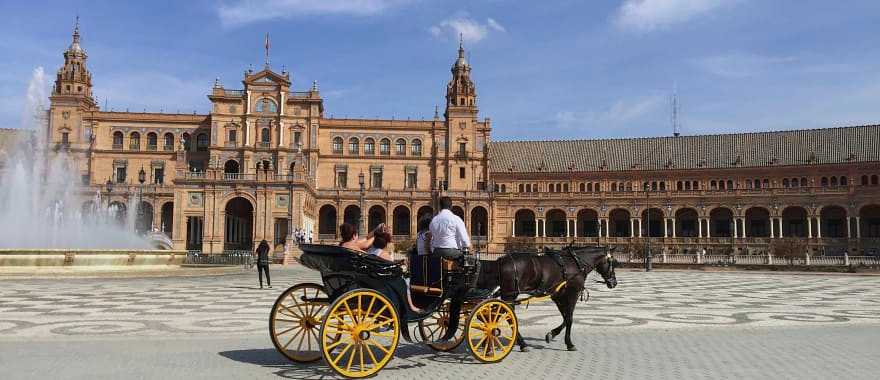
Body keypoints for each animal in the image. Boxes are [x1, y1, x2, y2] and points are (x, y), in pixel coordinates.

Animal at [474, 245, 620, 352]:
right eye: (612, 262)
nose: (614, 283)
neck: (576, 263)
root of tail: (501, 260)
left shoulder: (558, 295)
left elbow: (565, 317)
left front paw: (551, 334)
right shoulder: (572, 293)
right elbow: (570, 318)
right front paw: (569, 343)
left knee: (494, 314)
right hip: (510, 294)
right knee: (505, 316)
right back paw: (517, 343)